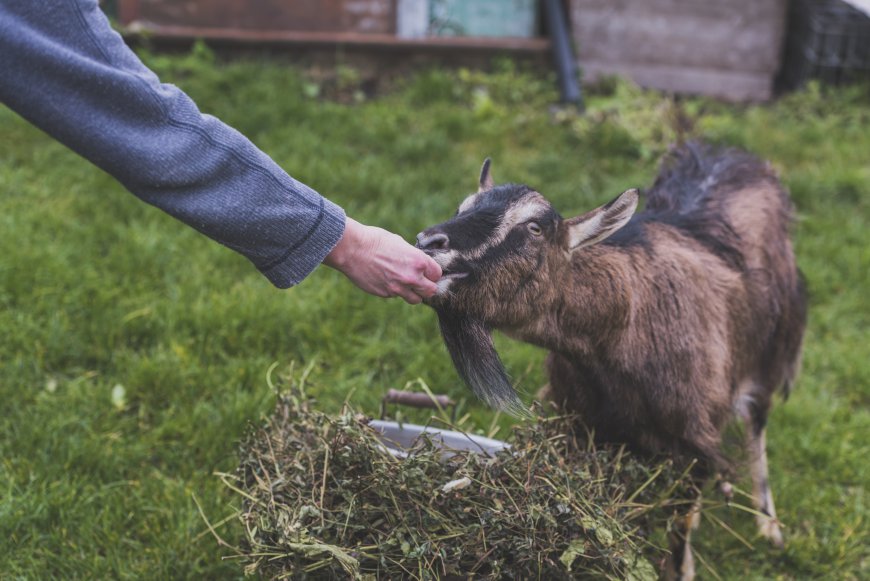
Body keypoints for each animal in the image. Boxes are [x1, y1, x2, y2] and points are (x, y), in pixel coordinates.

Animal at [418, 143, 812, 576]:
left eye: (535, 228)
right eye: (463, 206)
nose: (429, 240)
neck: (620, 333)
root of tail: (739, 156)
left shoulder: (694, 442)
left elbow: (679, 526)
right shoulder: (581, 424)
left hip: (771, 348)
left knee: (757, 422)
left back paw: (768, 525)